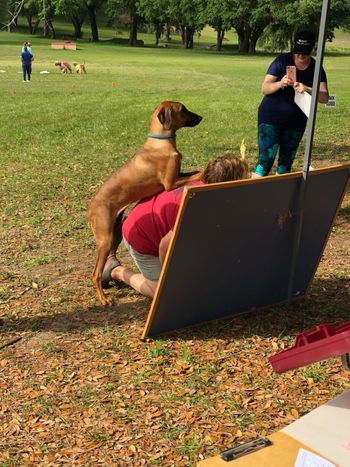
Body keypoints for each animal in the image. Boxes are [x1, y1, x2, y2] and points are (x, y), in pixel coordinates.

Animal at [87, 101, 202, 306]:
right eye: (183, 109)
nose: (201, 117)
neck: (160, 143)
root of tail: (91, 207)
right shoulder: (169, 184)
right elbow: (197, 174)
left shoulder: (178, 175)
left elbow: (194, 171)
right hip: (104, 238)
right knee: (95, 273)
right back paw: (104, 299)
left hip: (115, 232)